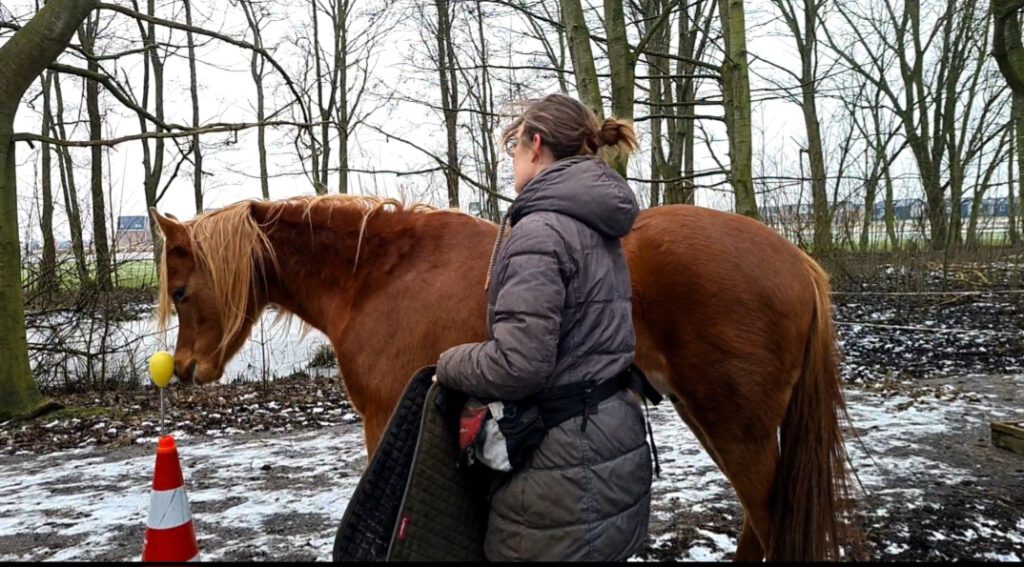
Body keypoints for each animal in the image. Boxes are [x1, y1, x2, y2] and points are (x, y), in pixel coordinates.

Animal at [149, 195, 856, 560]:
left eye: (180, 291)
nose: (184, 370)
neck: (377, 276)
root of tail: (797, 261)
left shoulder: (384, 419)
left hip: (736, 428)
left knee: (768, 519)